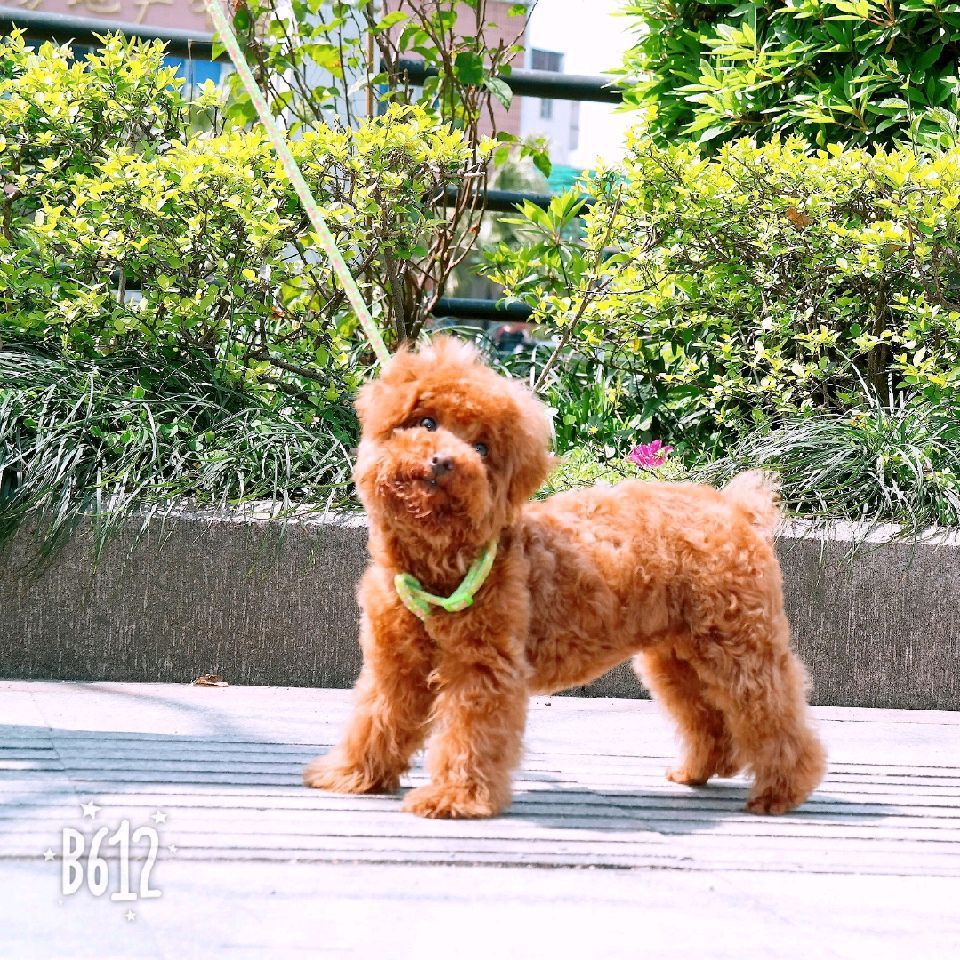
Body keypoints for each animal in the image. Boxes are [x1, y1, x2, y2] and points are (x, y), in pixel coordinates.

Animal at [304, 336, 826, 818]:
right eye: (427, 423)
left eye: (482, 448)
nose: (443, 461)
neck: (436, 565)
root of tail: (736, 509)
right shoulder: (395, 664)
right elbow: (378, 717)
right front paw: (353, 774)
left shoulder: (483, 666)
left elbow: (468, 736)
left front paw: (455, 797)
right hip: (678, 655)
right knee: (707, 716)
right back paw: (698, 770)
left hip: (741, 647)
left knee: (772, 712)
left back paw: (781, 791)